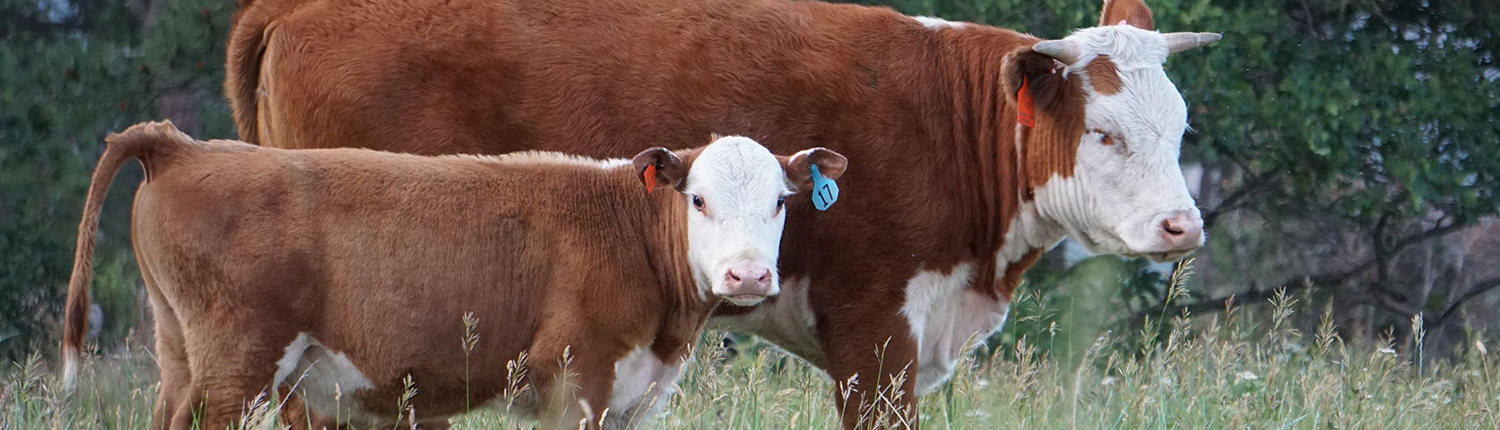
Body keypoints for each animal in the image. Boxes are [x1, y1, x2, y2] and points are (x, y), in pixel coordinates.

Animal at [60, 120, 849, 429]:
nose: (747, 277)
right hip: (236, 366)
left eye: (781, 200)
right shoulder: (576, 377)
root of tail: (180, 145)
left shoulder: (633, 397)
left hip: (181, 353)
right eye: (698, 199)